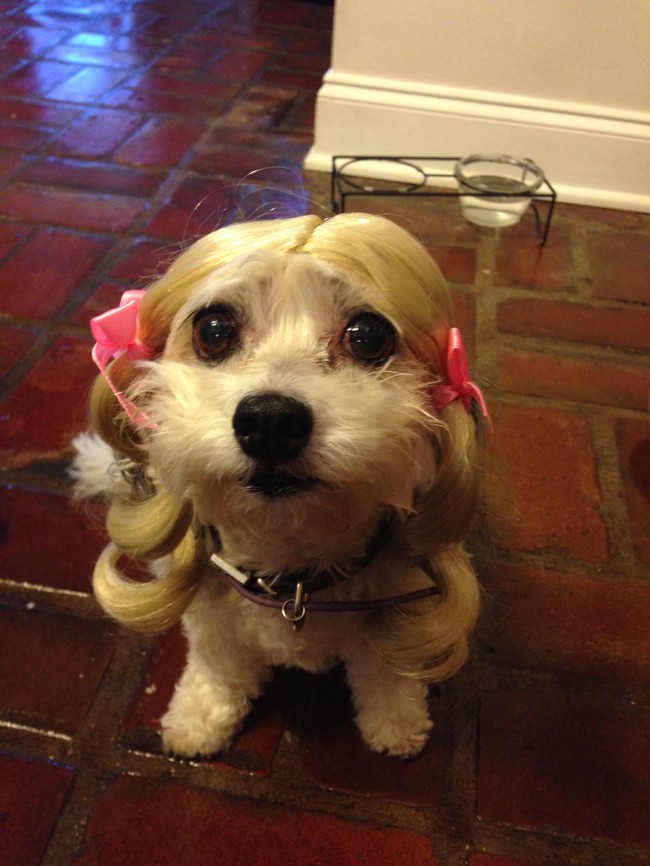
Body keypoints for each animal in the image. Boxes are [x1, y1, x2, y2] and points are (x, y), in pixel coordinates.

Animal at [72, 211, 486, 756]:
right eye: (214, 330)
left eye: (368, 337)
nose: (269, 421)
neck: (290, 574)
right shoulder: (212, 620)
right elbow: (218, 664)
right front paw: (201, 715)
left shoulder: (401, 604)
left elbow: (385, 672)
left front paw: (396, 721)